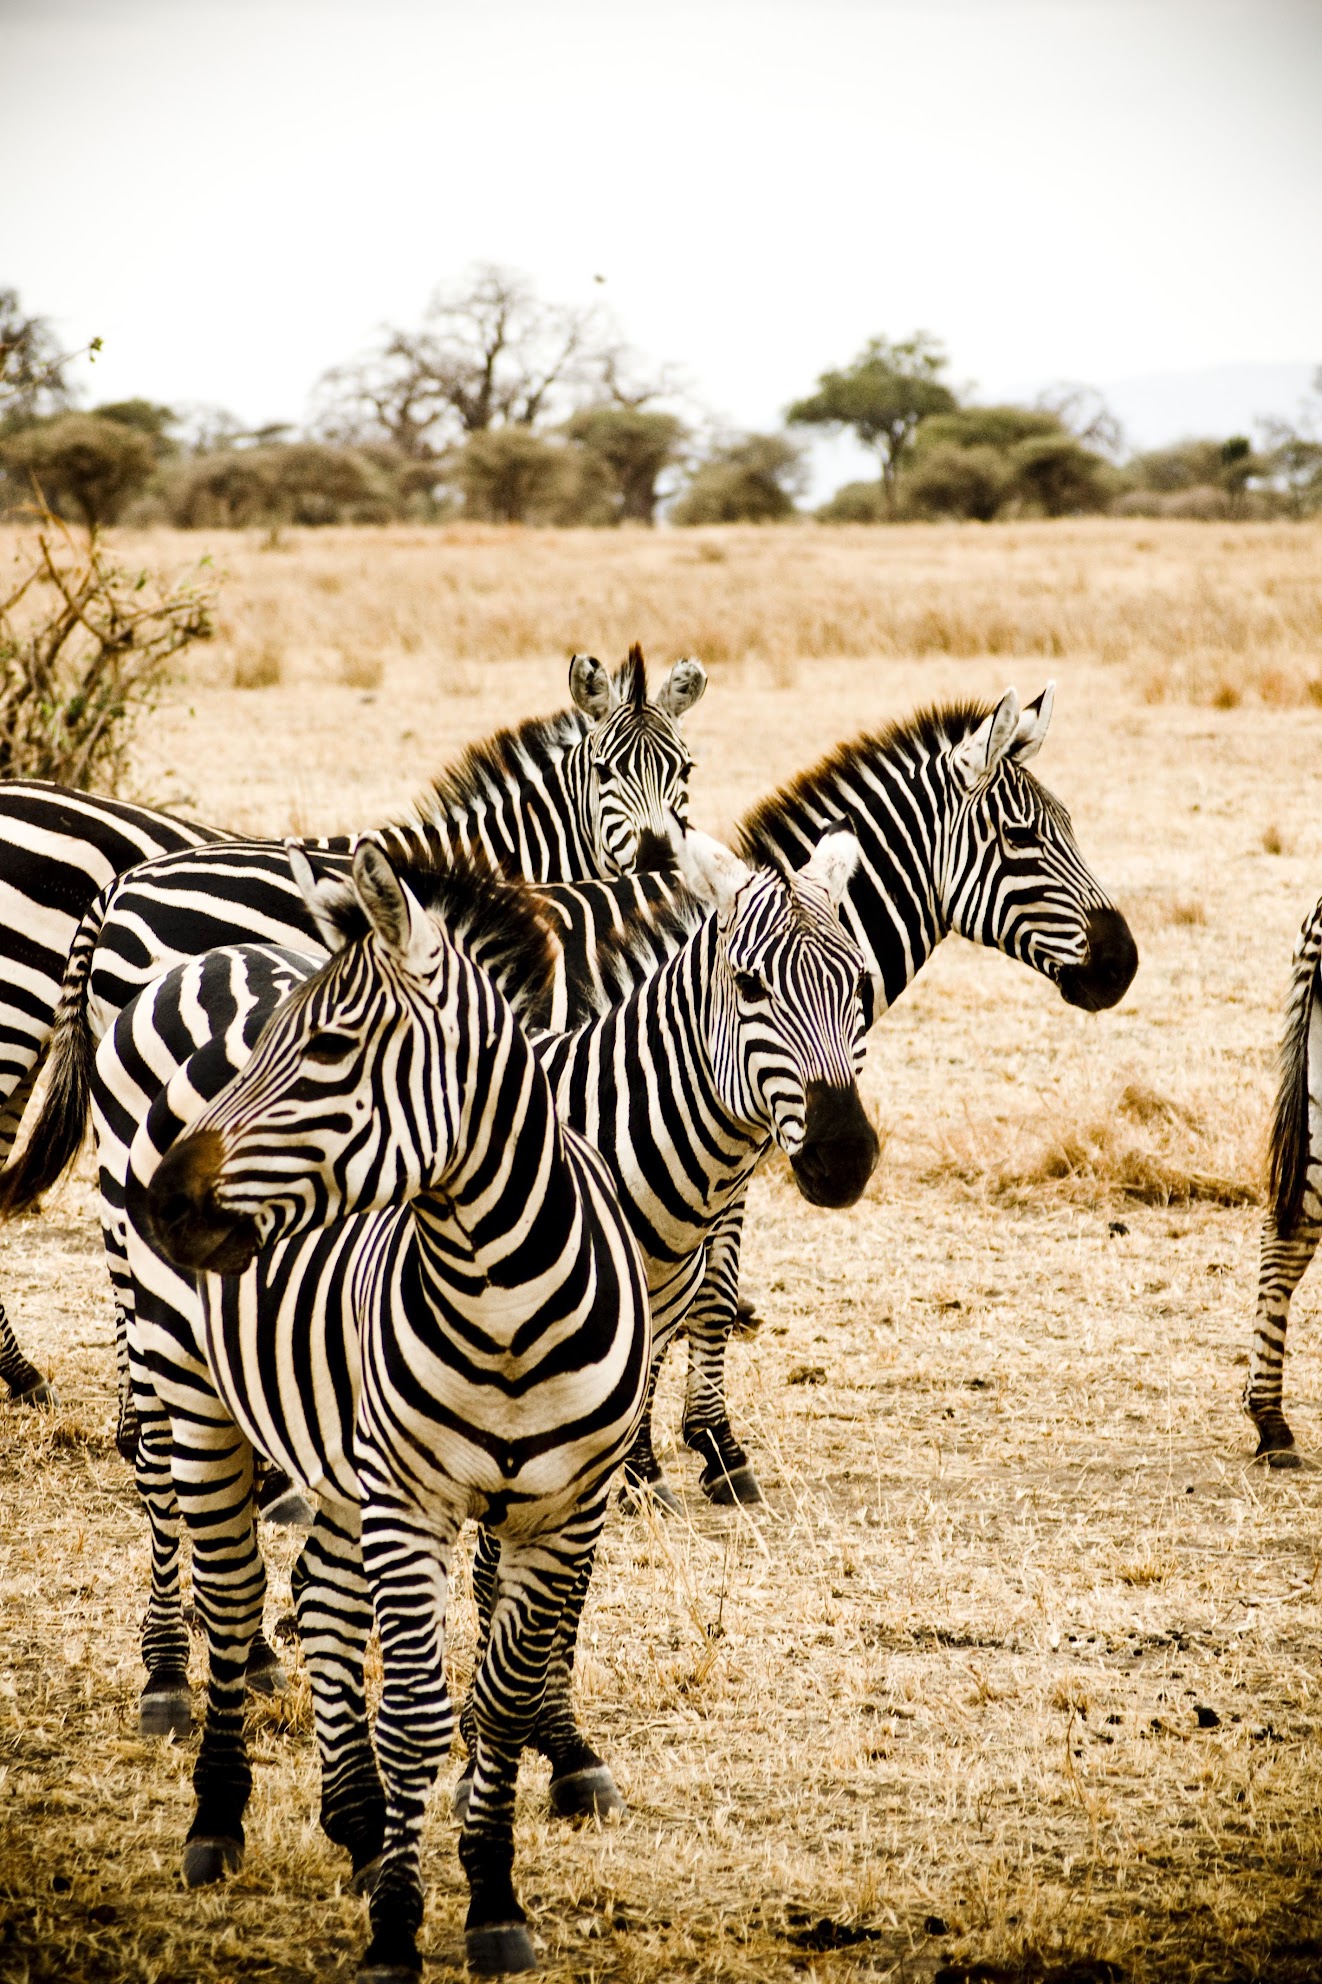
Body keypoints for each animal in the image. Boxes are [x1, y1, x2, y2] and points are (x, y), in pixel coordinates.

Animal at [110, 840, 655, 1978]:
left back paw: (357, 1828)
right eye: (289, 1042)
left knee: (318, 1596)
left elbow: (498, 1702)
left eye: (329, 1047)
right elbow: (413, 1713)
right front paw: (400, 1926)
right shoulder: (409, 1500)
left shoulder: (564, 1511)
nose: (165, 1206)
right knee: (234, 1603)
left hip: (330, 1445)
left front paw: (490, 1899)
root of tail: (226, 970)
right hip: (192, 1389)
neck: (503, 1297)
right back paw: (217, 1821)